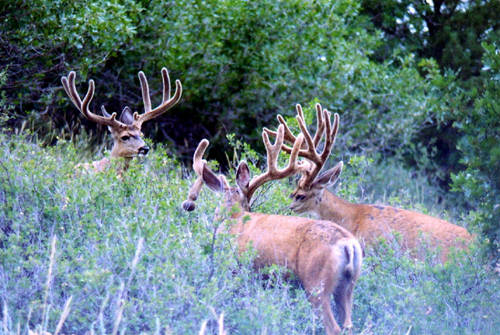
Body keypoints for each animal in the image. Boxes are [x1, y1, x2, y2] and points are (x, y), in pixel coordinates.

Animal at [182, 126, 362, 335]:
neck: (231, 218)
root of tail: (348, 244)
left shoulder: (237, 268)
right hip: (348, 285)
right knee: (349, 324)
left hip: (316, 282)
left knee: (333, 327)